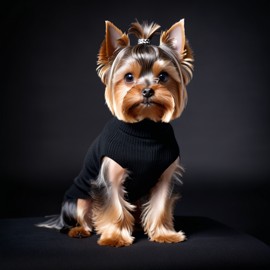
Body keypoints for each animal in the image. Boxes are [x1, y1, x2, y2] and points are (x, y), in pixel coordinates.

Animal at [38, 19, 194, 247]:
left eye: (163, 76)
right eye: (129, 77)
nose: (147, 91)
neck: (144, 128)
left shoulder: (164, 178)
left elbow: (160, 206)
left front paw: (164, 234)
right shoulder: (110, 177)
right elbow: (115, 207)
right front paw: (115, 237)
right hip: (78, 198)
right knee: (82, 215)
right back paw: (79, 230)